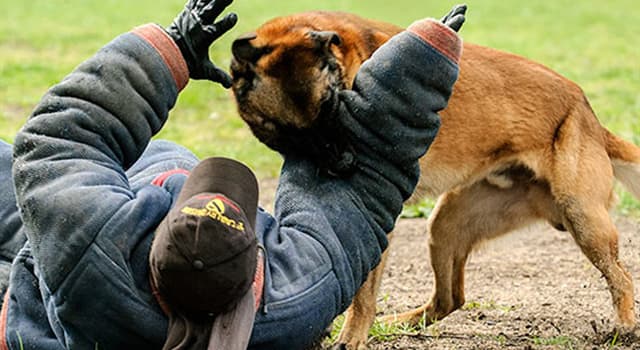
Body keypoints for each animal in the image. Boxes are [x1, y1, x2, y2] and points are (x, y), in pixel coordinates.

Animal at [230, 10, 640, 350]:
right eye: (288, 135)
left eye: (332, 109)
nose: (346, 166)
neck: (350, 62)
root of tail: (587, 112)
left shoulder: (380, 218)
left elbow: (362, 292)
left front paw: (351, 338)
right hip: (446, 225)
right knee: (450, 299)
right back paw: (403, 322)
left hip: (584, 220)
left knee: (622, 276)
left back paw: (623, 328)